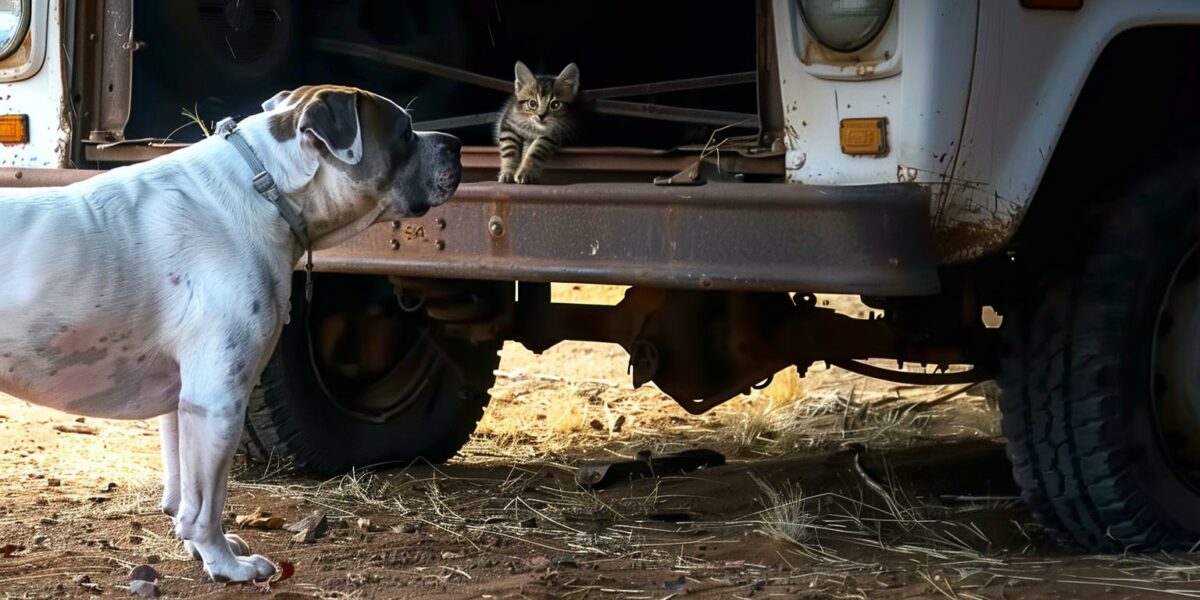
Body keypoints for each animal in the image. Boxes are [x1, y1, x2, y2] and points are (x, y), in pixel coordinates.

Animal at [0, 84, 463, 580]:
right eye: (405, 133)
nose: (455, 143)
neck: (267, 187)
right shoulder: (217, 402)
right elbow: (206, 506)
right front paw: (226, 563)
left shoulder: (184, 404)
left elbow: (183, 494)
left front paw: (198, 550)